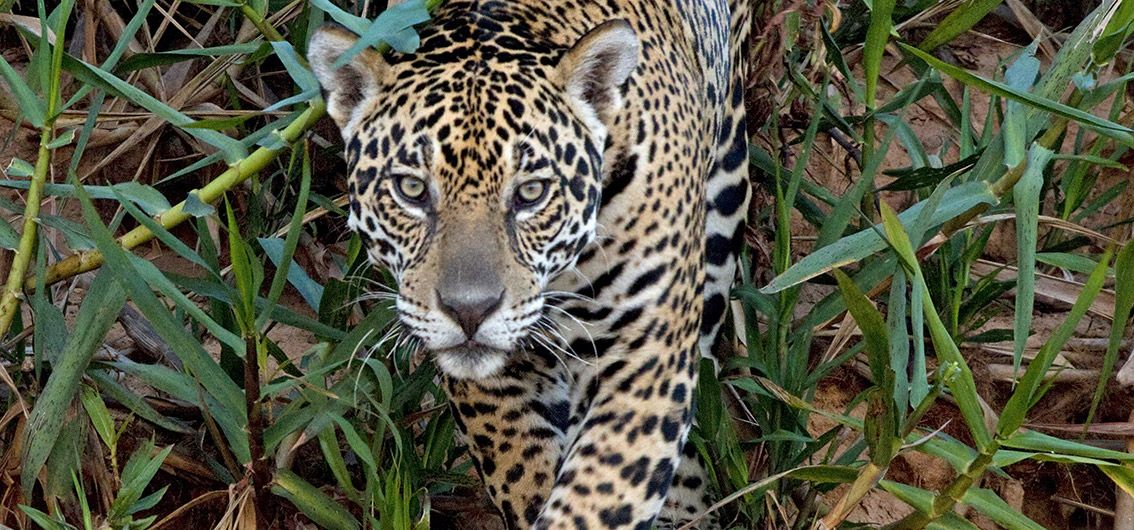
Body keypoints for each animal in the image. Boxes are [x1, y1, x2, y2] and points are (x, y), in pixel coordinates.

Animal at [308, 0, 752, 528]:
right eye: (411, 189)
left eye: (532, 192)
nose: (469, 311)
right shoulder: (495, 382)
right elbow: (522, 472)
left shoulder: (644, 354)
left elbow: (603, 490)